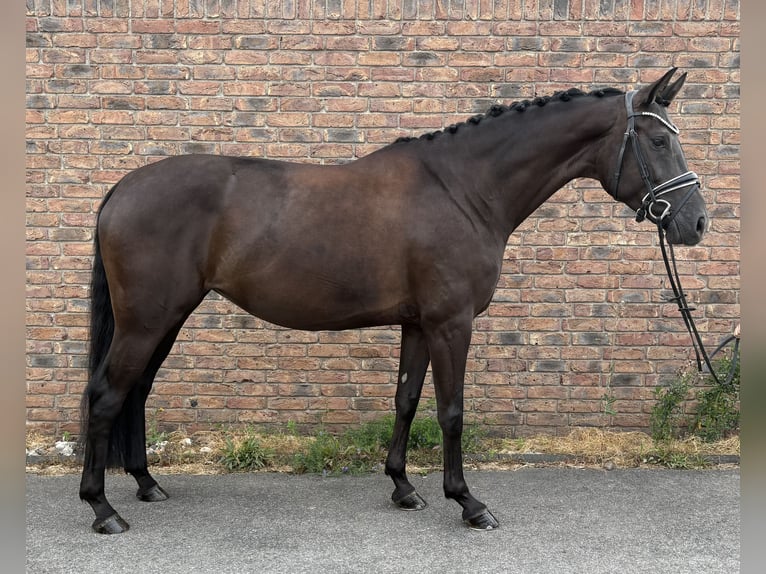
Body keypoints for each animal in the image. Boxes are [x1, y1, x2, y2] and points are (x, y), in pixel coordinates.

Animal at [79, 68, 708, 533]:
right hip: (146, 320)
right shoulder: (452, 323)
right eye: (658, 140)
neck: (462, 190)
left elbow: (405, 400)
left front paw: (404, 487)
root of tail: (121, 189)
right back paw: (103, 509)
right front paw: (469, 503)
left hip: (165, 320)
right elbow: (451, 411)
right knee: (107, 395)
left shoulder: (418, 324)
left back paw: (146, 484)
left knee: (135, 392)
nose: (696, 223)